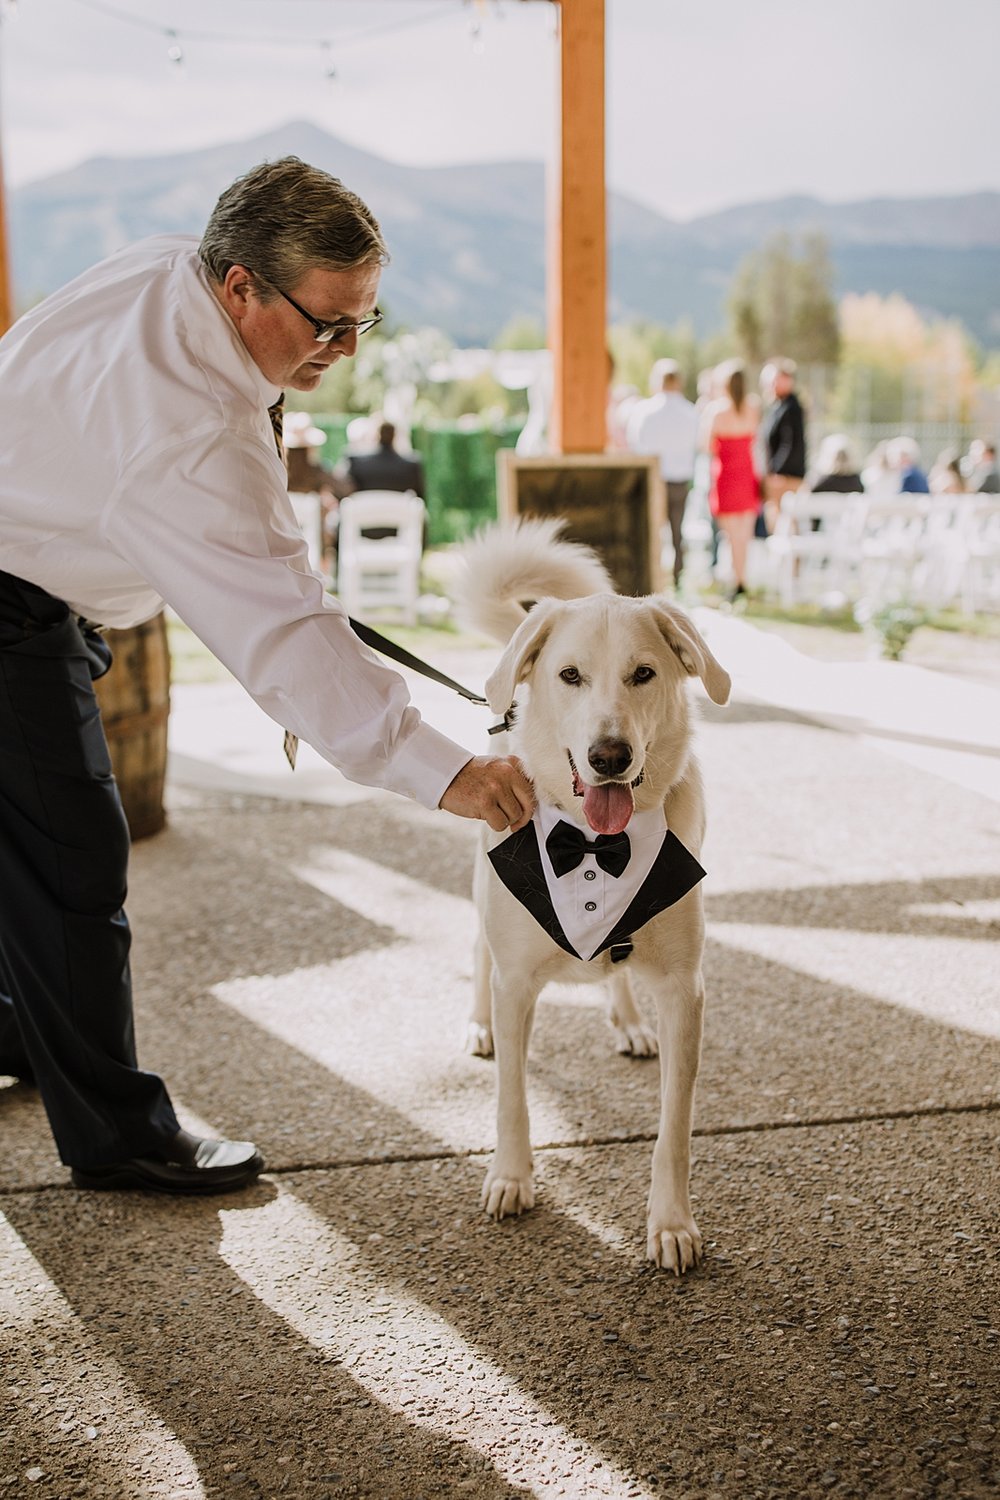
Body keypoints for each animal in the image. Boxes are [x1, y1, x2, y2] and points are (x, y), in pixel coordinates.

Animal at [458, 522, 731, 1272]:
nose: (610, 756)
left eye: (643, 674)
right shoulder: (519, 980)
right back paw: (479, 1024)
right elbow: (513, 1098)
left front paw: (671, 1223)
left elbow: (674, 1129)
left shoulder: (686, 990)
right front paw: (511, 1177)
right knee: (478, 954)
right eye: (570, 676)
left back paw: (628, 1020)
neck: (592, 845)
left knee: (617, 971)